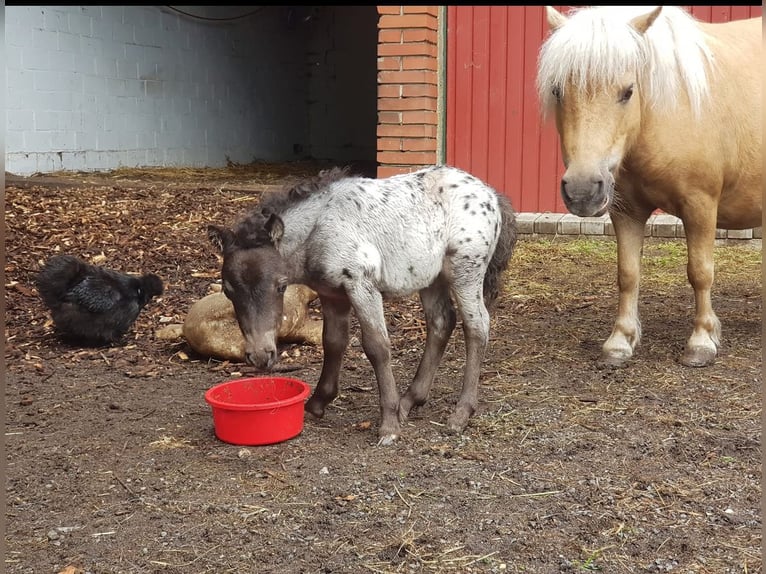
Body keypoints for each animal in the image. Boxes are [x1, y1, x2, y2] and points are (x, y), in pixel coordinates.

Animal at [208, 166, 517, 445]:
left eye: (281, 286)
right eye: (228, 291)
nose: (261, 356)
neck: (320, 229)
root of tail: (491, 194)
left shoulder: (361, 285)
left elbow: (377, 347)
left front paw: (389, 426)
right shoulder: (332, 294)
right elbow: (333, 342)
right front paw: (317, 403)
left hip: (466, 271)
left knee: (476, 327)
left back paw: (460, 413)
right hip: (431, 278)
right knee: (442, 322)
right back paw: (410, 401)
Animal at [536, 6, 762, 367]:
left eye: (627, 91)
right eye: (558, 90)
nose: (582, 191)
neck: (669, 111)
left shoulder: (700, 205)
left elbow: (700, 272)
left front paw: (701, 341)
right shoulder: (627, 210)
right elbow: (628, 274)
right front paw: (620, 341)